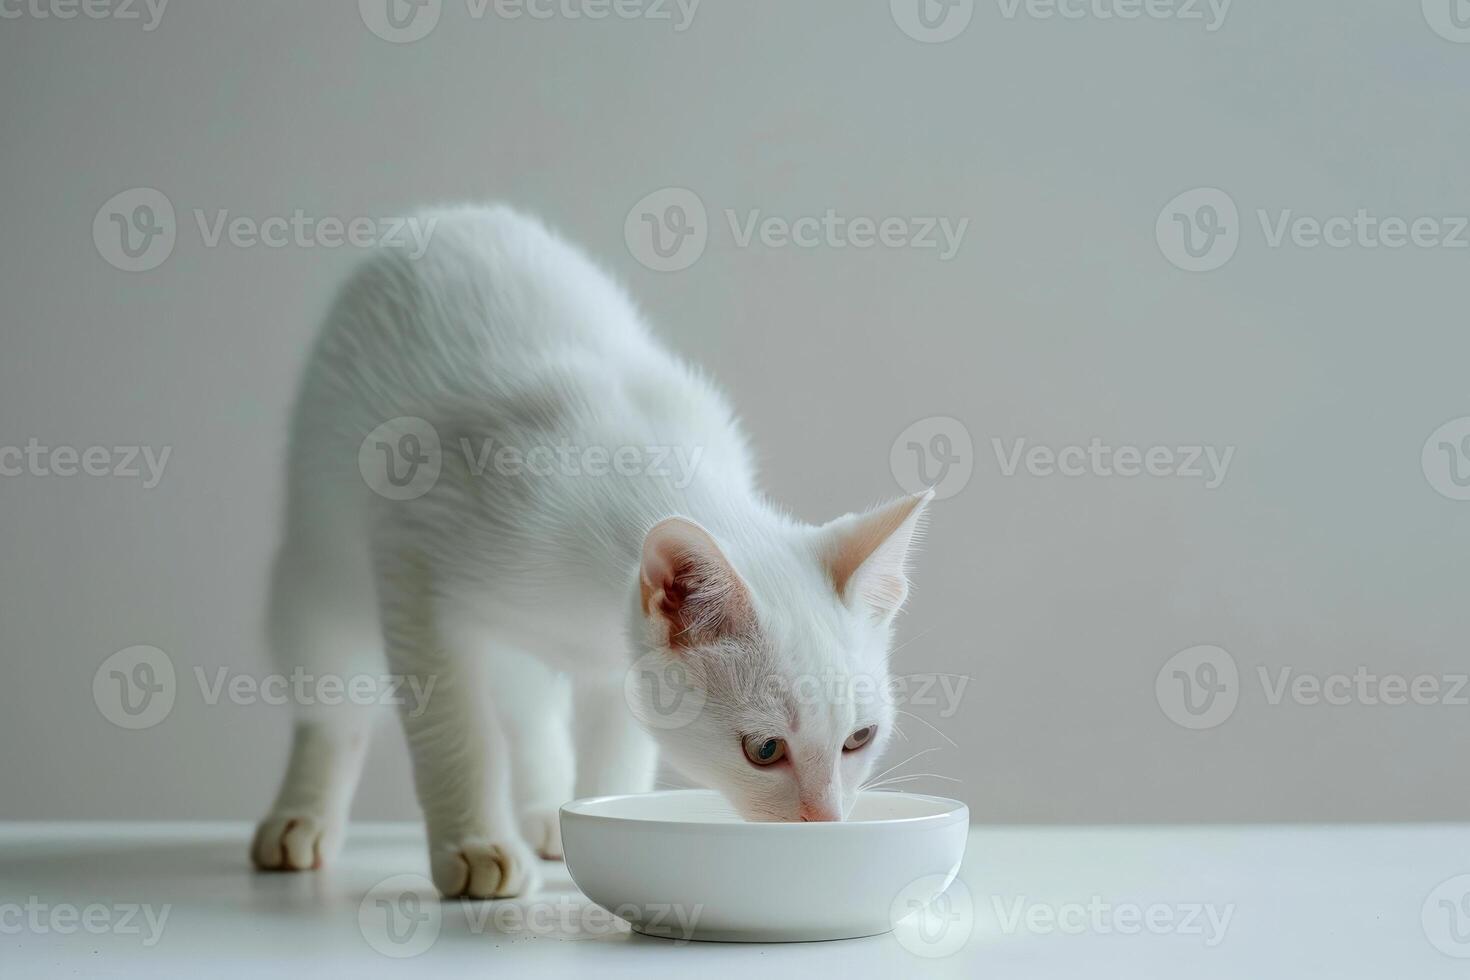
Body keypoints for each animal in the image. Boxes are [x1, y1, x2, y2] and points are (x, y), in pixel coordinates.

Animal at [251, 205, 929, 899]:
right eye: (764, 750)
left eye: (860, 738)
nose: (826, 819)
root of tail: (445, 216)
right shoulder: (413, 560)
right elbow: (454, 728)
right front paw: (474, 845)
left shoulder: (622, 662)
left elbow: (615, 755)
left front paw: (603, 819)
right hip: (321, 560)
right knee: (334, 698)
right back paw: (301, 817)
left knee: (528, 709)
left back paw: (544, 812)